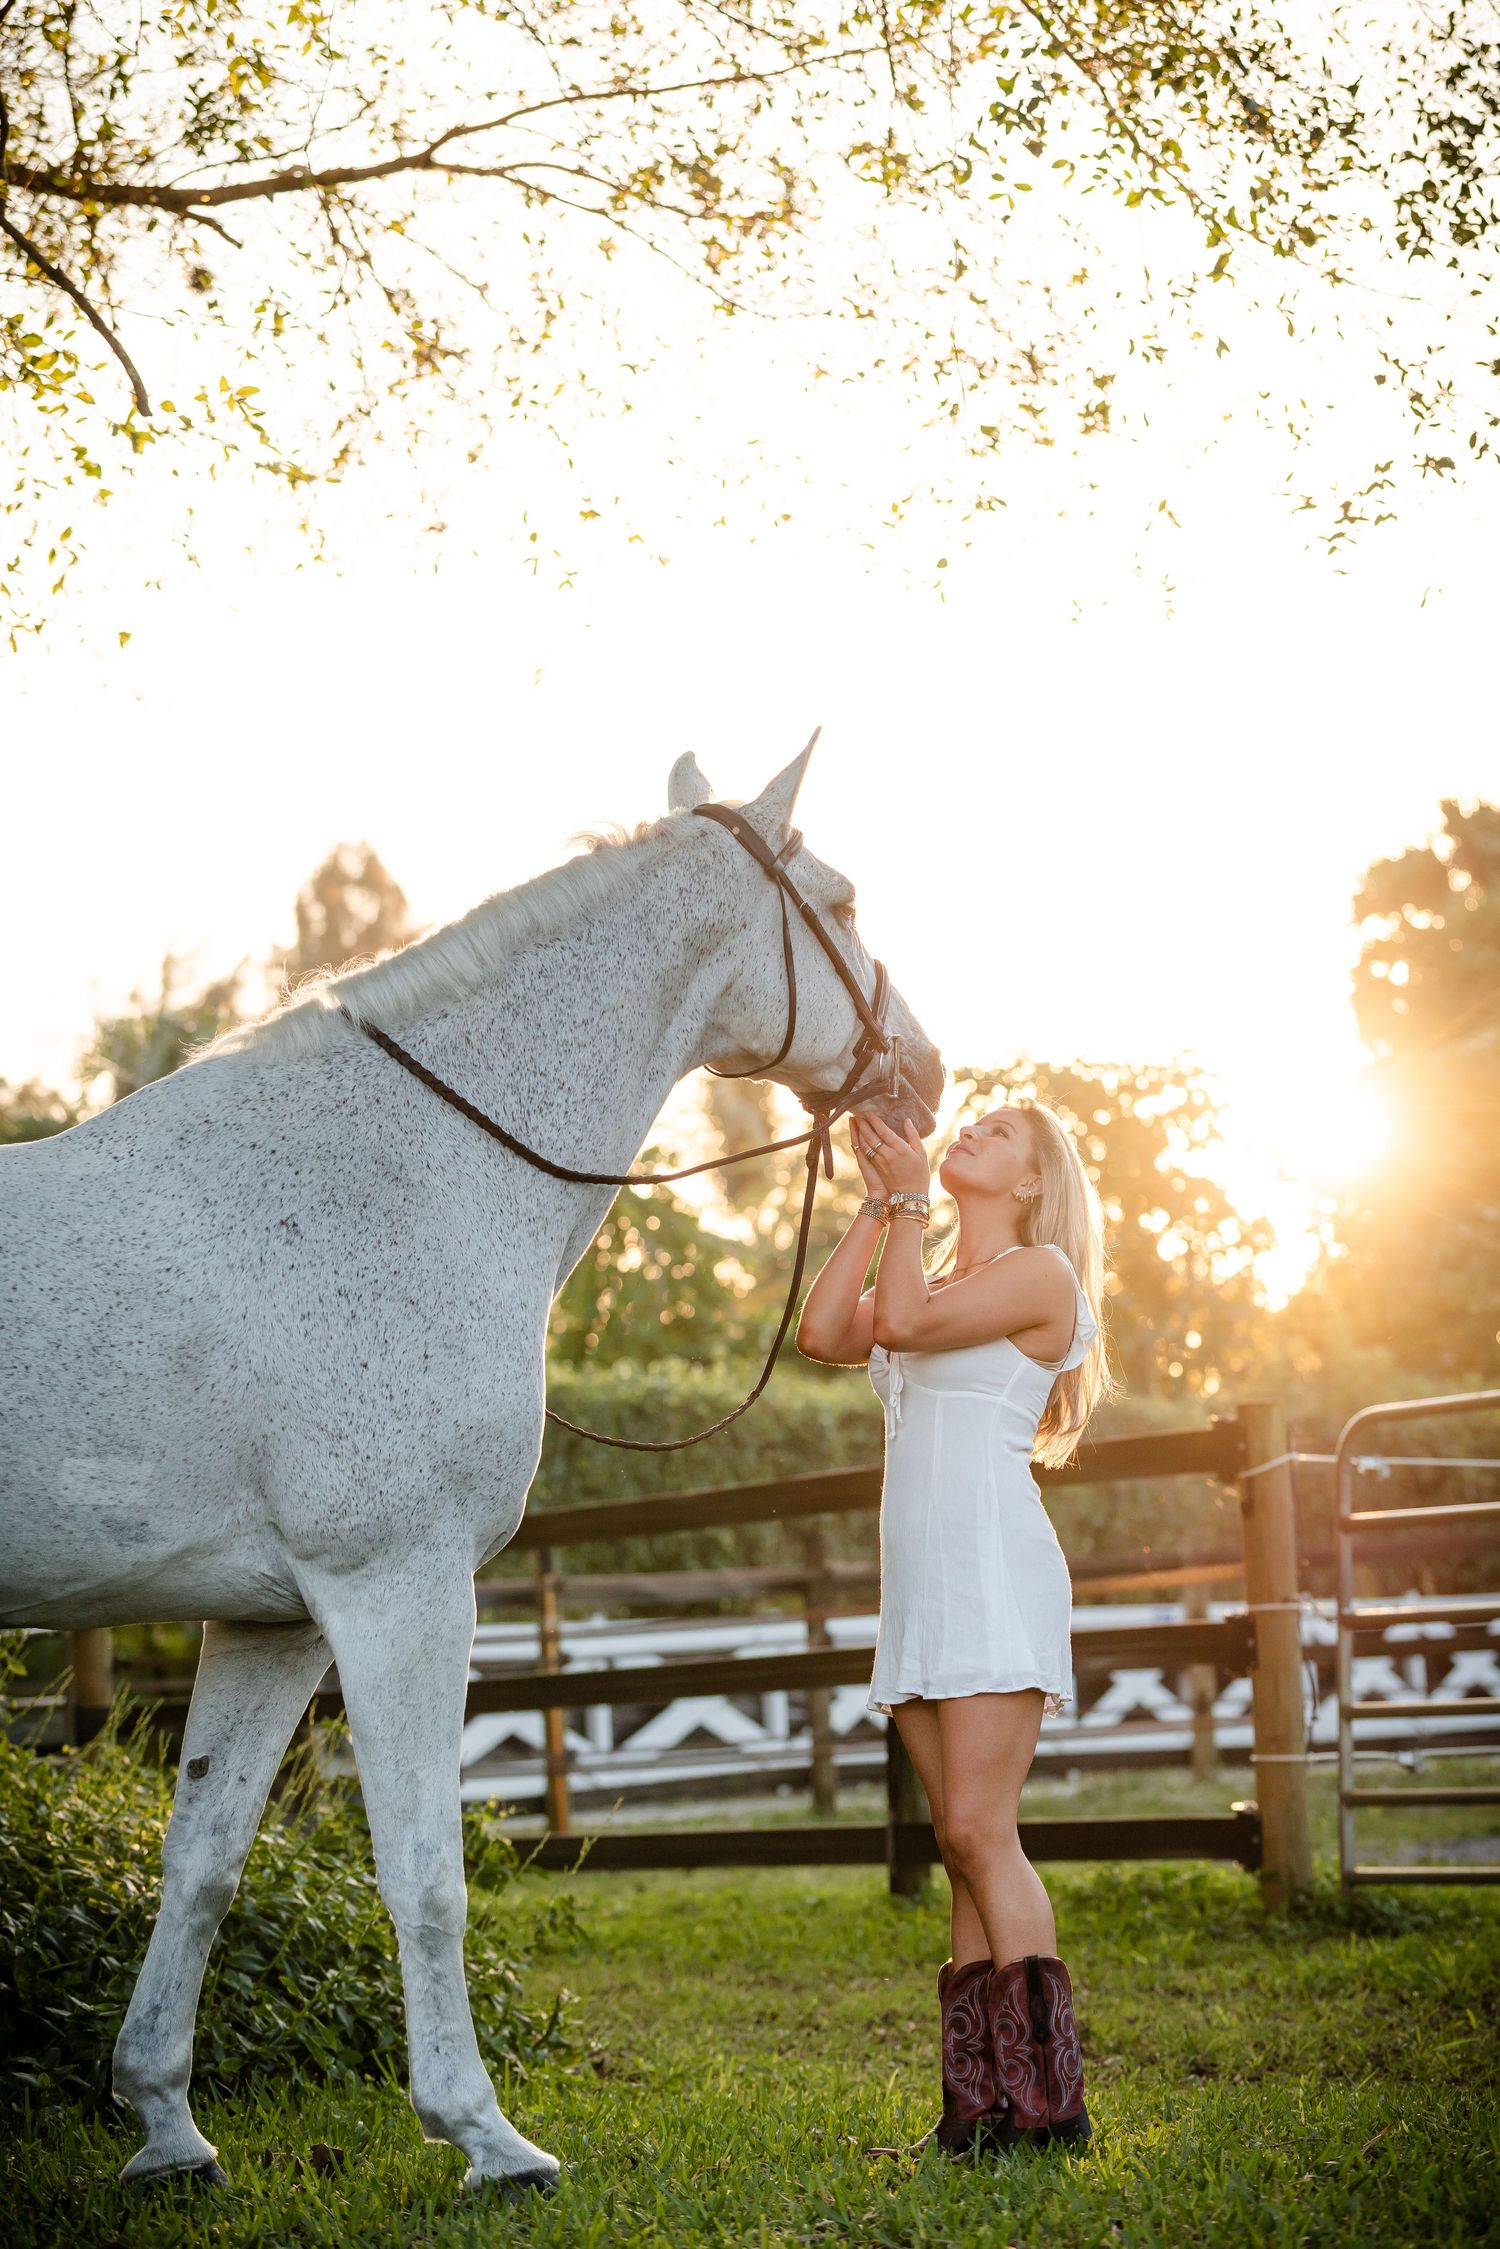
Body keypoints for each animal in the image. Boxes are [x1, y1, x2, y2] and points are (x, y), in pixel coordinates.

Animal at [0, 740, 944, 2194]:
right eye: (840, 900)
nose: (926, 1073)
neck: (400, 1175)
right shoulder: (401, 1590)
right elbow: (426, 1874)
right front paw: (484, 2133)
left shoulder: (269, 1620)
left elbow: (201, 1860)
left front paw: (164, 2124)